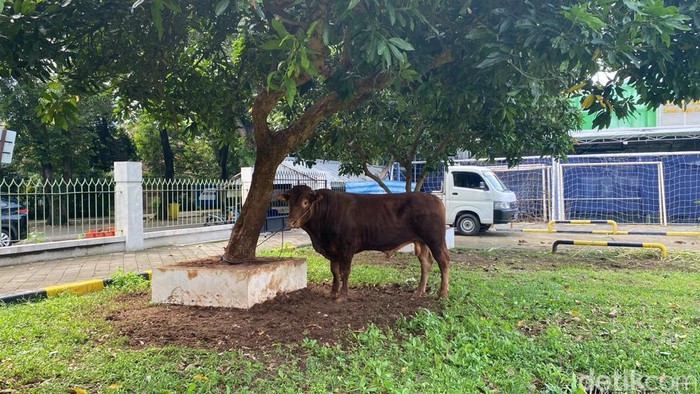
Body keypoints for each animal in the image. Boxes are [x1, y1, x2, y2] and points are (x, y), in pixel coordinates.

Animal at [278, 185, 448, 302]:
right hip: (421, 241)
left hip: (435, 239)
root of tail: (434, 199)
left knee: (443, 261)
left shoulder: (346, 248)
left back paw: (442, 294)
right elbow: (334, 271)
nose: (290, 221)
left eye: (306, 202)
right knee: (426, 262)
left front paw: (342, 296)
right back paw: (418, 292)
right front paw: (332, 292)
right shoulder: (333, 250)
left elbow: (344, 272)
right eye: (290, 202)